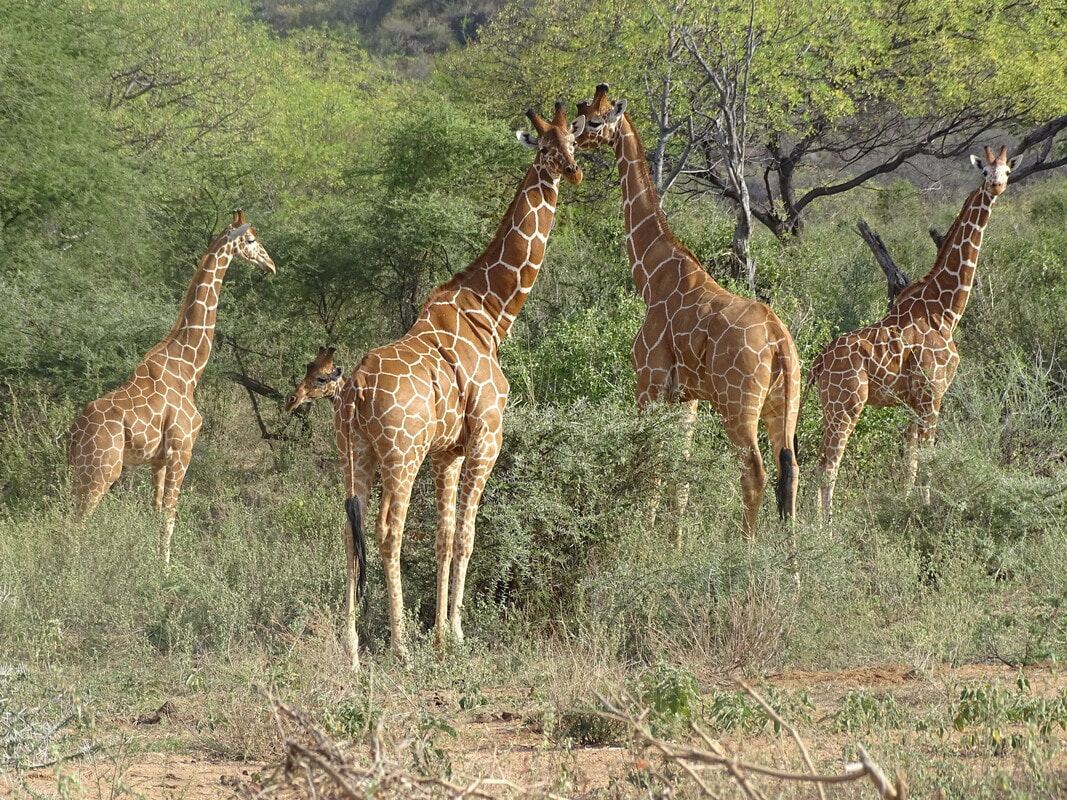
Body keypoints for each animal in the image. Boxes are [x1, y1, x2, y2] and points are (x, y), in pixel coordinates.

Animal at [68, 210, 276, 563]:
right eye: (251, 239)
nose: (270, 265)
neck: (188, 368)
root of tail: (72, 435)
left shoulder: (158, 459)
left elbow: (155, 511)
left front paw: (154, 562)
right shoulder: (182, 449)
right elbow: (170, 513)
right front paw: (166, 568)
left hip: (79, 474)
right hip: (102, 471)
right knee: (77, 523)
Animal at [317, 104, 584, 668]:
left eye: (574, 140)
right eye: (545, 147)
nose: (572, 172)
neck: (490, 313)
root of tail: (354, 391)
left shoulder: (448, 451)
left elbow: (443, 536)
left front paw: (441, 632)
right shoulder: (486, 437)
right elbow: (467, 535)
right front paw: (456, 634)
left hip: (354, 454)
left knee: (351, 533)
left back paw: (352, 649)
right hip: (401, 455)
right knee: (389, 532)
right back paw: (399, 646)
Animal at [575, 84, 800, 540]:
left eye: (595, 120)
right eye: (583, 110)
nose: (571, 136)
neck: (652, 275)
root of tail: (778, 341)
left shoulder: (650, 381)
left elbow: (650, 460)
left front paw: (638, 536)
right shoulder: (689, 397)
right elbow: (680, 469)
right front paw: (673, 543)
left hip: (738, 406)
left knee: (755, 471)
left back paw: (747, 551)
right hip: (784, 406)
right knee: (791, 471)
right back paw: (793, 556)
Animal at [810, 146, 1020, 518]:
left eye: (1008, 170)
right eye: (985, 171)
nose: (996, 186)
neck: (946, 311)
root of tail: (819, 362)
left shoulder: (914, 399)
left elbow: (910, 455)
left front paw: (906, 502)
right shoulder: (933, 393)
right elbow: (929, 452)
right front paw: (926, 506)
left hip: (830, 405)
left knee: (812, 459)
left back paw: (799, 521)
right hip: (847, 404)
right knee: (829, 463)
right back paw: (825, 525)